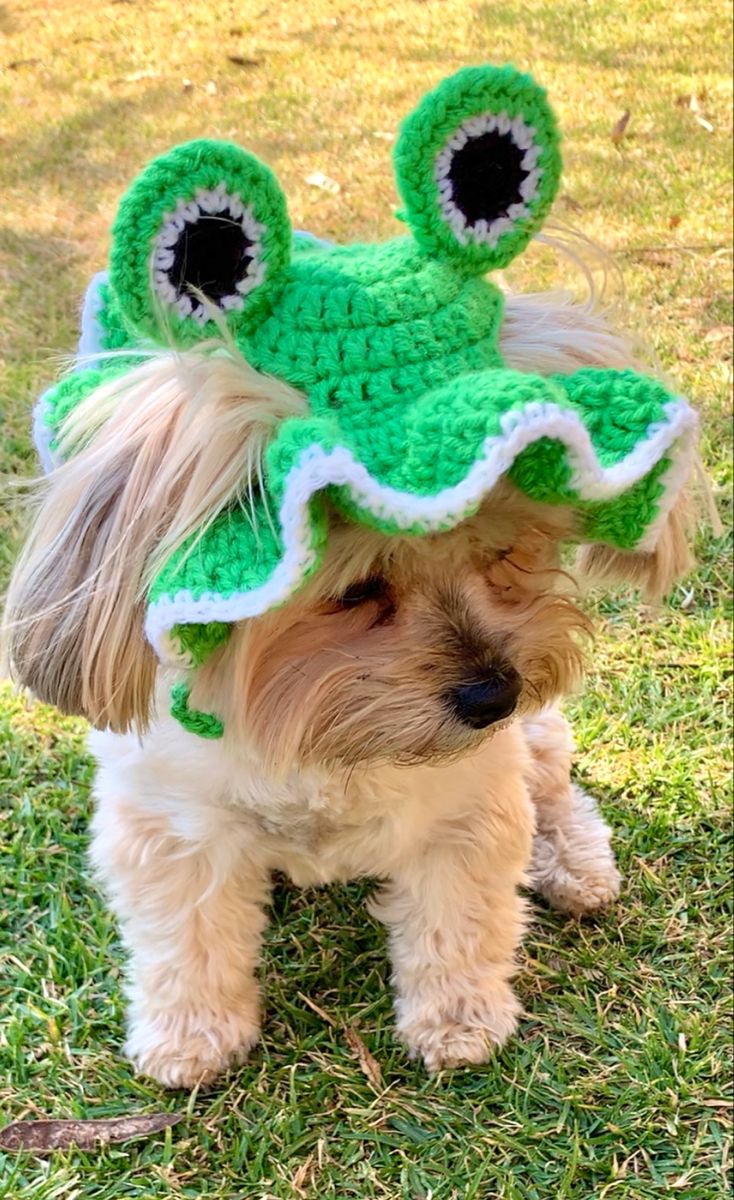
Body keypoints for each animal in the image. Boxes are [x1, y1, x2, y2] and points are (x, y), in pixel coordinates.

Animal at [4, 68, 695, 1099]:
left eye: (506, 554)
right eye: (357, 589)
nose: (491, 694)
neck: (316, 728)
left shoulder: (467, 805)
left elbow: (459, 918)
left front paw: (461, 1020)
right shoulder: (172, 820)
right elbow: (187, 938)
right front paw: (190, 1036)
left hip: (535, 745)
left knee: (555, 782)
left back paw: (575, 864)